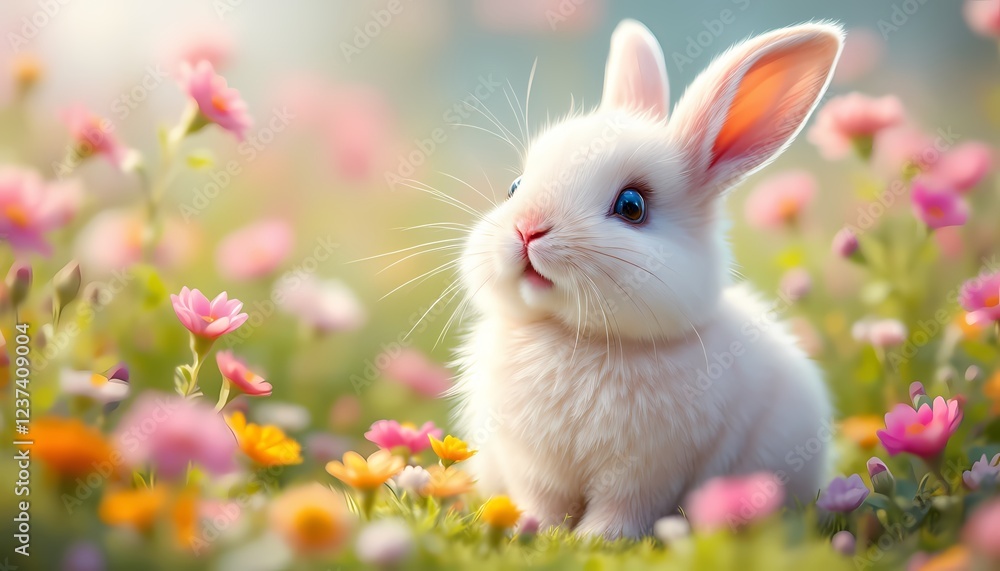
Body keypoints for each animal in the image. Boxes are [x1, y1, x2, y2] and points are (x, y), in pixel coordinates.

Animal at [449, 19, 843, 539]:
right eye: (514, 187)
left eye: (632, 206)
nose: (528, 229)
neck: (577, 337)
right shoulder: (529, 463)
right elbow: (542, 501)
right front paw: (530, 530)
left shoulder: (648, 471)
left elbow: (621, 508)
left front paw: (595, 540)